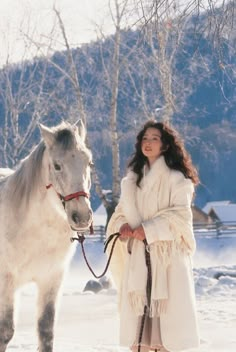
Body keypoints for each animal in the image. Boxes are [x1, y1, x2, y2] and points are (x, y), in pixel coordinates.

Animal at [0, 119, 93, 350]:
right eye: (57, 165)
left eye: (89, 163)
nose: (81, 216)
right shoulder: (6, 281)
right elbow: (5, 332)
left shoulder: (51, 279)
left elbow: (46, 330)